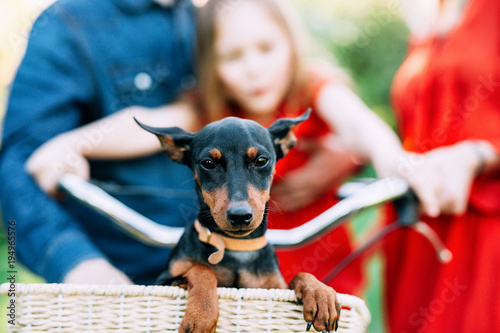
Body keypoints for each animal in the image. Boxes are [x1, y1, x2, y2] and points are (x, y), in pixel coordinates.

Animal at [137, 110, 340, 330]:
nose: (240, 215)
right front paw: (201, 317)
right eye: (208, 163)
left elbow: (300, 275)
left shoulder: (275, 288)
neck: (237, 247)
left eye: (261, 160)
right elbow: (202, 268)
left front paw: (321, 294)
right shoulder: (161, 282)